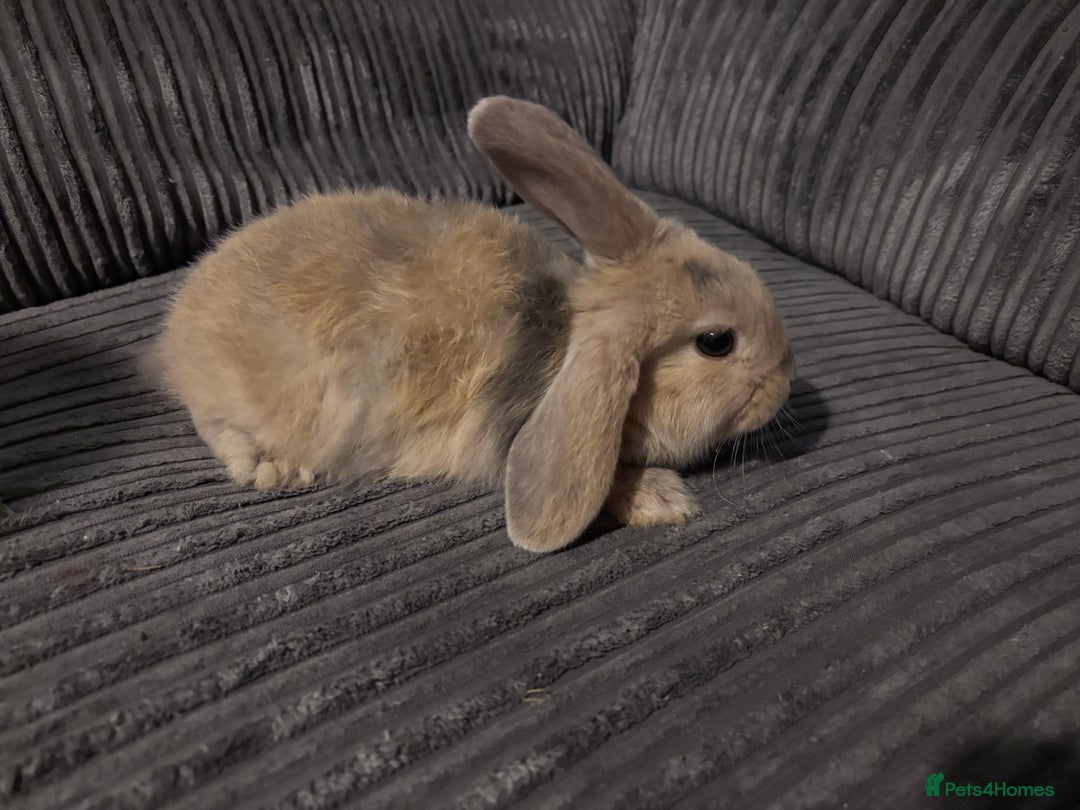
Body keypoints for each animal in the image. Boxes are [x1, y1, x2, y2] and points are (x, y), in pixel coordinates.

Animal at [154, 95, 795, 553]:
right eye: (716, 342)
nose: (786, 382)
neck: (566, 338)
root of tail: (179, 322)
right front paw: (666, 500)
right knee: (213, 423)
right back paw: (273, 468)